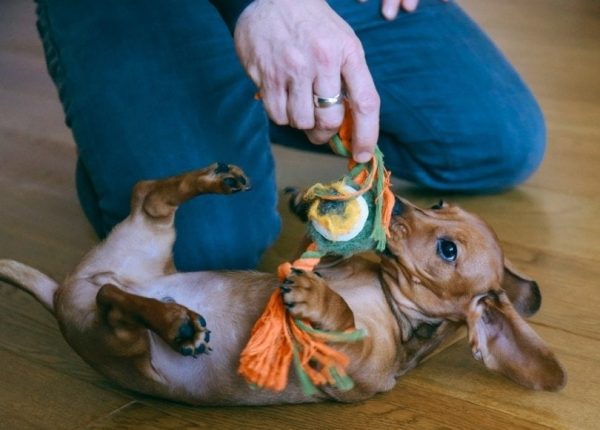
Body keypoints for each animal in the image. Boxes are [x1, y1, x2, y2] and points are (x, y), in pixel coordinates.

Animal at [0, 163, 564, 404]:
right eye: (443, 204)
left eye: (449, 250)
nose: (396, 202)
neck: (386, 295)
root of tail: (61, 294)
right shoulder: (321, 262)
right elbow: (316, 254)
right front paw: (310, 207)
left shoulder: (352, 372)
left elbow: (342, 319)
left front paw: (316, 297)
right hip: (147, 241)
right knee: (148, 197)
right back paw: (215, 179)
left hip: (121, 344)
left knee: (114, 298)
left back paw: (179, 323)